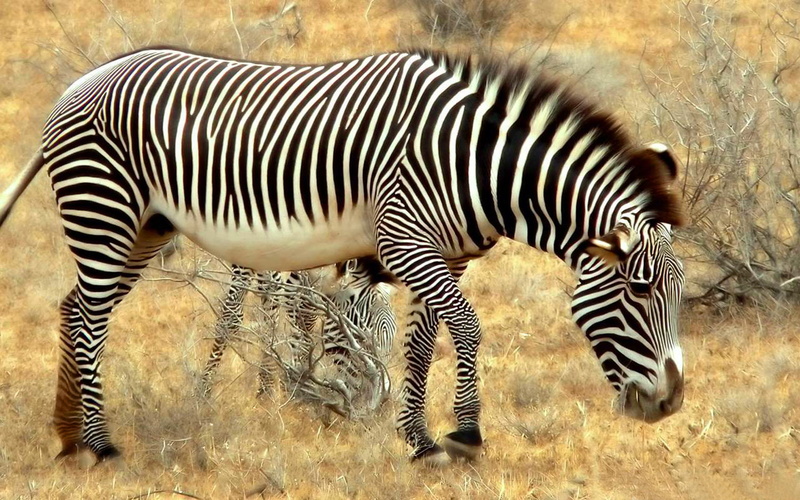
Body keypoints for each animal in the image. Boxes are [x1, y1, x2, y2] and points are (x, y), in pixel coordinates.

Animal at [0, 48, 686, 465]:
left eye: (678, 293)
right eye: (640, 292)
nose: (671, 405)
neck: (475, 163)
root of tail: (82, 79)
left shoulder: (443, 253)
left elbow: (421, 340)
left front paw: (418, 439)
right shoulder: (403, 237)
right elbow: (466, 326)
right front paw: (465, 435)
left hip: (144, 227)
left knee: (74, 308)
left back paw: (68, 436)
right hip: (104, 209)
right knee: (90, 319)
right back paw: (101, 443)